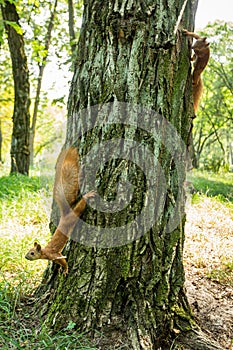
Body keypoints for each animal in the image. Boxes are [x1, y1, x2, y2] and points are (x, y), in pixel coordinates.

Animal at [25, 146, 95, 274]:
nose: (25, 257)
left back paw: (88, 196)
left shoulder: (54, 255)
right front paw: (62, 269)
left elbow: (63, 261)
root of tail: (65, 215)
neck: (45, 252)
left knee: (80, 206)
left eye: (32, 253)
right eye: (28, 251)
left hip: (74, 215)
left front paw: (66, 270)